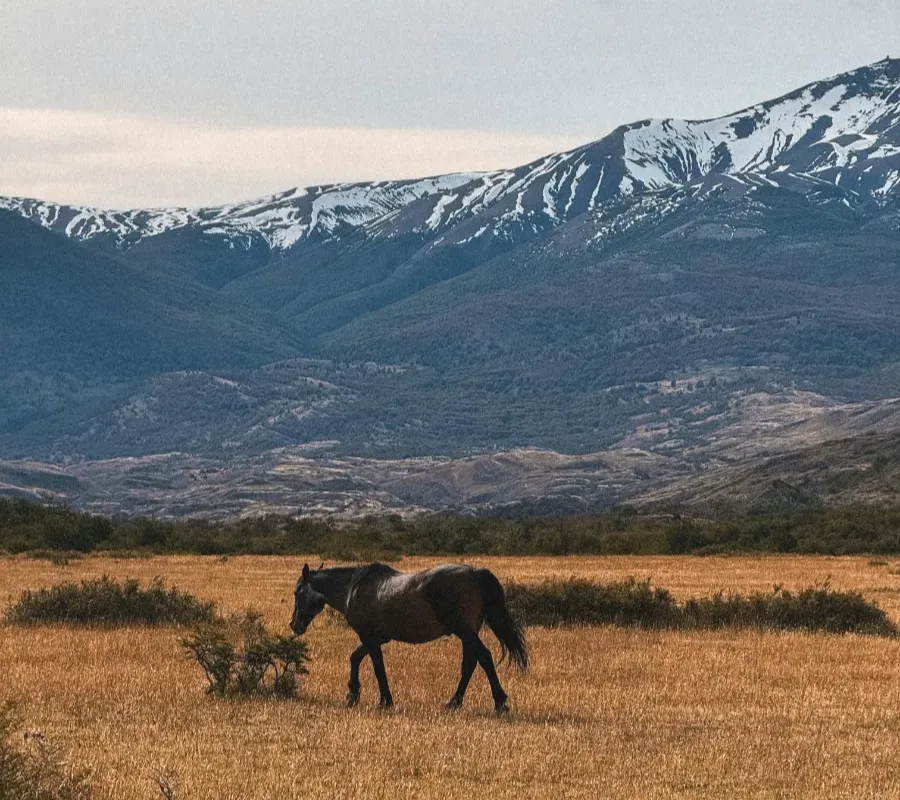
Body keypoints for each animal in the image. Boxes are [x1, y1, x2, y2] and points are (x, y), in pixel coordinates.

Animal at [290, 562, 528, 713]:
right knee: (471, 663)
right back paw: (454, 702)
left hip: (465, 632)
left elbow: (377, 667)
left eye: (297, 592)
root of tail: (476, 572)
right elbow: (356, 658)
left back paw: (499, 702)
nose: (294, 625)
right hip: (468, 634)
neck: (353, 588)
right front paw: (353, 695)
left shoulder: (369, 637)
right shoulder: (377, 638)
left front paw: (384, 700)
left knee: (484, 658)